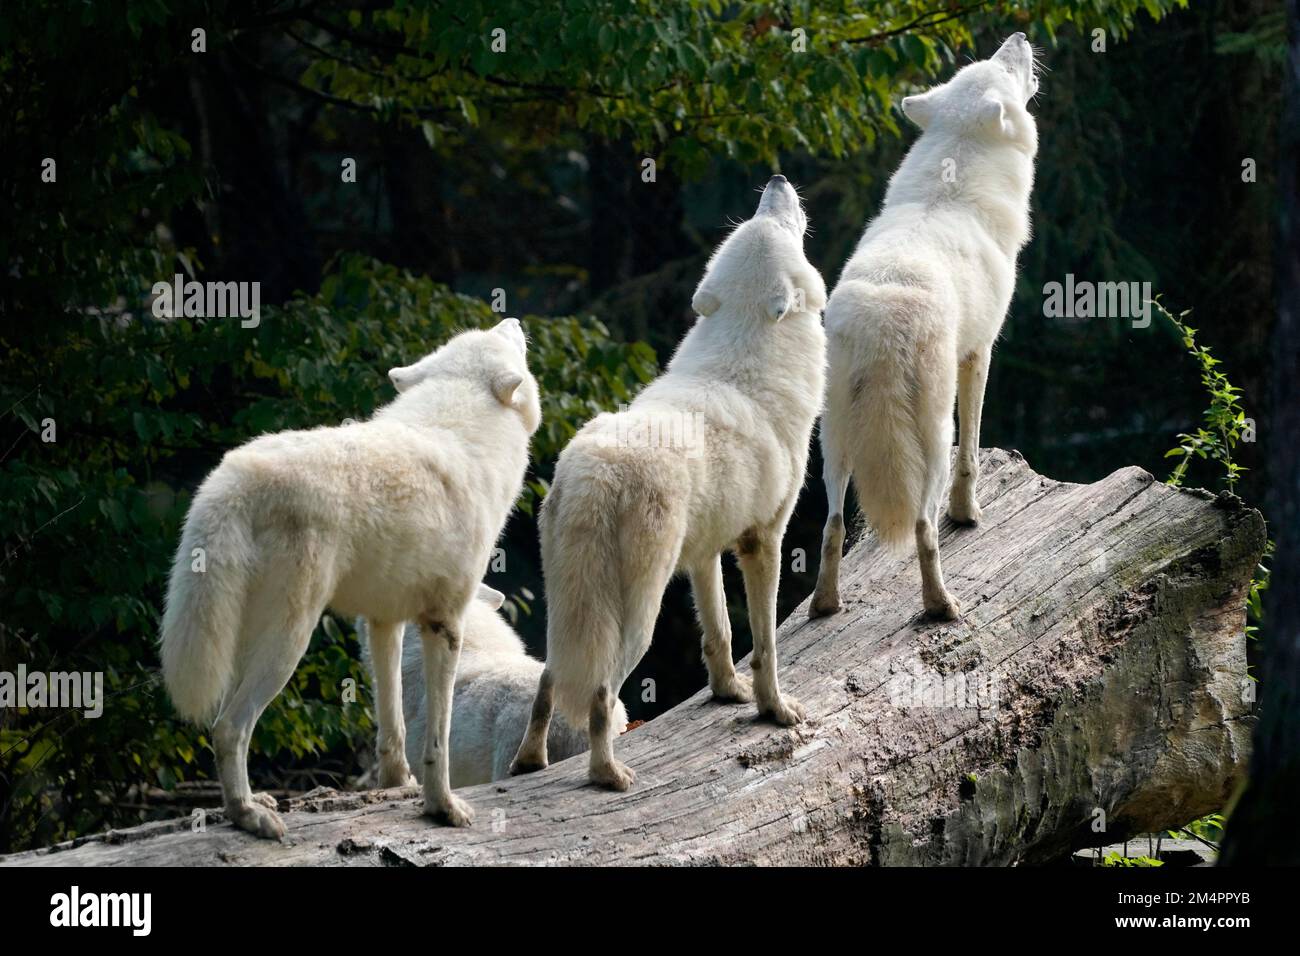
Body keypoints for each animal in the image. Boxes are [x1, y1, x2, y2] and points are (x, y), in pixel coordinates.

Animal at [161, 321, 538, 837]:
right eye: (505, 340)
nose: (515, 322)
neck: (465, 433)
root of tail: (231, 479)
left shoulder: (385, 621)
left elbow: (392, 725)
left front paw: (397, 786)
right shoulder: (446, 622)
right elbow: (436, 740)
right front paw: (441, 807)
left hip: (246, 640)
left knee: (223, 722)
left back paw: (253, 802)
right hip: (289, 642)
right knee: (229, 728)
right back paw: (248, 815)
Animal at [506, 175, 821, 790]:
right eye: (772, 220)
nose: (776, 180)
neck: (745, 358)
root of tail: (597, 472)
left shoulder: (704, 554)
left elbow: (719, 633)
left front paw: (727, 693)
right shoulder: (763, 542)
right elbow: (765, 644)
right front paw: (773, 710)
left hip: (568, 612)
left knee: (549, 680)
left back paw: (529, 762)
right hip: (636, 620)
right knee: (601, 694)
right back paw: (608, 773)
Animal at [811, 33, 1034, 621]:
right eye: (1004, 67)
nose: (1020, 37)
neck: (951, 187)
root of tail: (882, 320)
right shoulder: (979, 353)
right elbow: (972, 453)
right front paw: (968, 513)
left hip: (832, 441)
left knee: (832, 525)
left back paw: (825, 604)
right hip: (932, 434)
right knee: (922, 526)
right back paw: (941, 605)